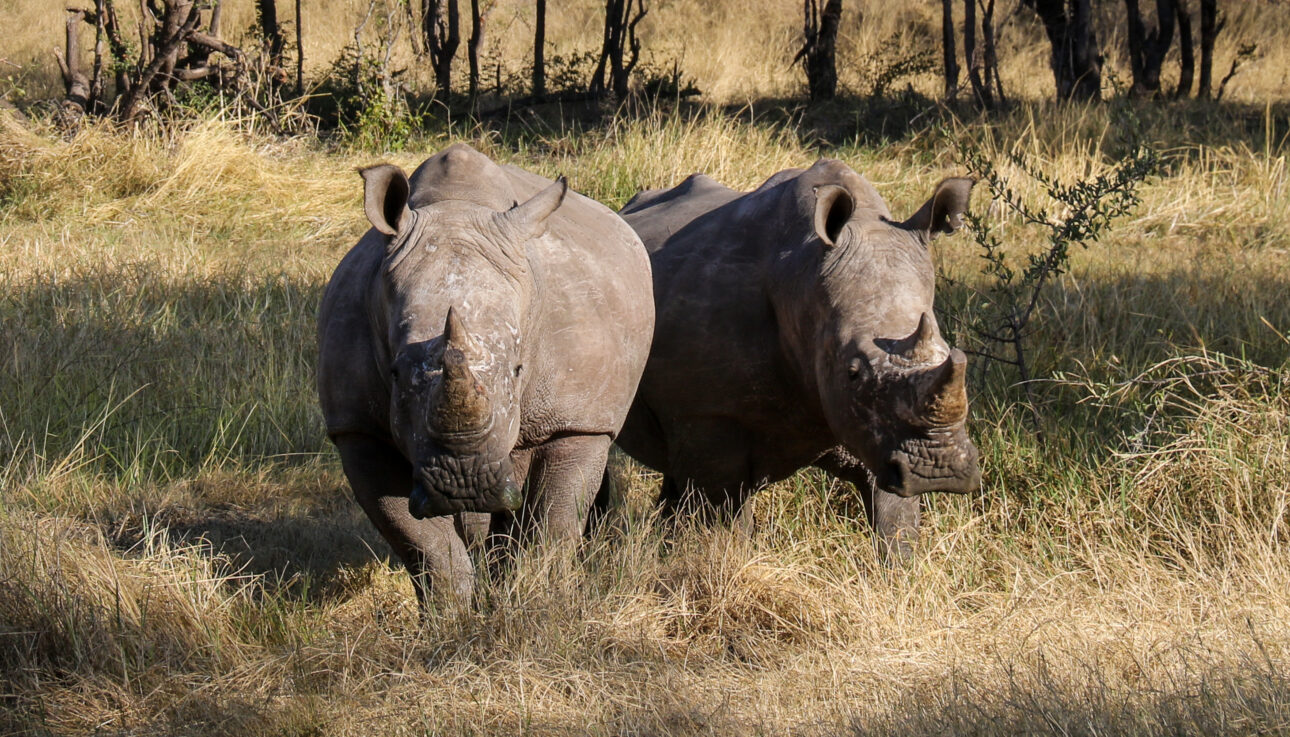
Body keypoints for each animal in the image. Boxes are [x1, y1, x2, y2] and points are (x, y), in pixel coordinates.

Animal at [313, 143, 655, 606]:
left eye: (518, 369)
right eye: (396, 374)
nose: (464, 483)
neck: (458, 207)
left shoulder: (577, 419)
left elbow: (553, 525)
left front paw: (537, 602)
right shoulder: (358, 428)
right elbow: (424, 545)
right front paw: (450, 615)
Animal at [611, 158, 975, 557]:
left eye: (952, 356)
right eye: (853, 372)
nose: (937, 469)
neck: (803, 282)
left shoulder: (880, 436)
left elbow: (895, 521)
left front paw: (900, 566)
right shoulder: (708, 414)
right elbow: (721, 519)